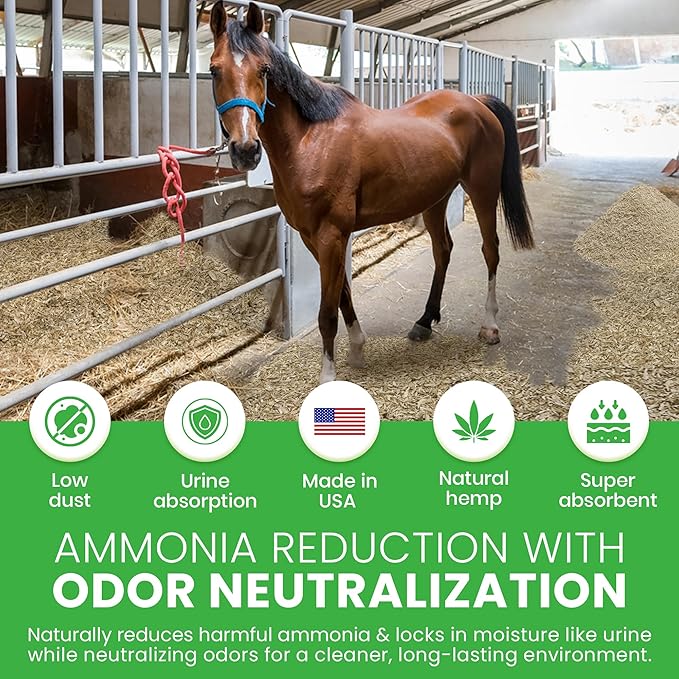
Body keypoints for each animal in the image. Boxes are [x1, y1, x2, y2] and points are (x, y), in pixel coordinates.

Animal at [209, 2, 534, 384]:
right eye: (214, 70)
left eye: (263, 70)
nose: (245, 149)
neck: (310, 140)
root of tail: (476, 101)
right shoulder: (313, 237)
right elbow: (343, 295)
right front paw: (357, 347)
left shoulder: (331, 235)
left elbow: (327, 312)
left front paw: (328, 377)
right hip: (435, 200)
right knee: (443, 250)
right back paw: (424, 322)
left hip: (482, 191)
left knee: (490, 250)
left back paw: (489, 326)